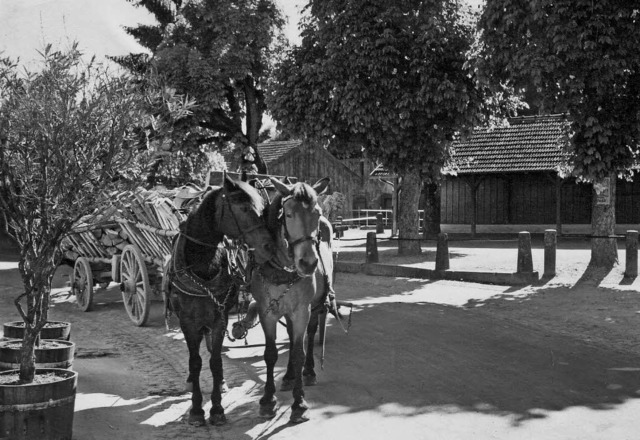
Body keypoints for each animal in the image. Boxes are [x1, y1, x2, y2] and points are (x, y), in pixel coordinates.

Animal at [164, 174, 274, 426]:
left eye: (263, 207)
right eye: (244, 208)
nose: (269, 245)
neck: (203, 265)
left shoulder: (219, 317)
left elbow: (215, 361)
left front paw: (216, 409)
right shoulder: (187, 321)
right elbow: (195, 362)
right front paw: (196, 410)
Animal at [249, 177, 332, 424]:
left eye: (317, 213)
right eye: (288, 214)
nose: (308, 263)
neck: (282, 270)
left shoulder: (302, 310)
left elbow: (298, 353)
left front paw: (299, 404)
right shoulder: (267, 311)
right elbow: (270, 353)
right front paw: (268, 400)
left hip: (315, 306)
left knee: (311, 333)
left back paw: (309, 372)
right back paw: (287, 376)